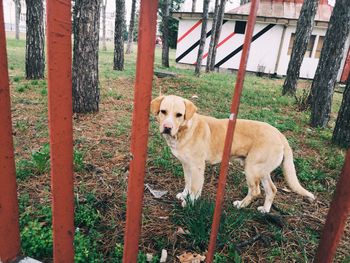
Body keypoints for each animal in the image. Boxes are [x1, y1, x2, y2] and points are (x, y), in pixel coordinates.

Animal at [150, 95, 314, 214]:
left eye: (179, 115)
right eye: (163, 111)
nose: (167, 127)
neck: (185, 130)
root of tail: (280, 134)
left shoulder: (197, 167)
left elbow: (195, 188)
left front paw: (190, 203)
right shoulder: (186, 165)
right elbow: (187, 183)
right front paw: (184, 195)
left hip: (251, 169)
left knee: (255, 191)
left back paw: (241, 205)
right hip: (261, 171)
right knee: (272, 190)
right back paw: (265, 210)